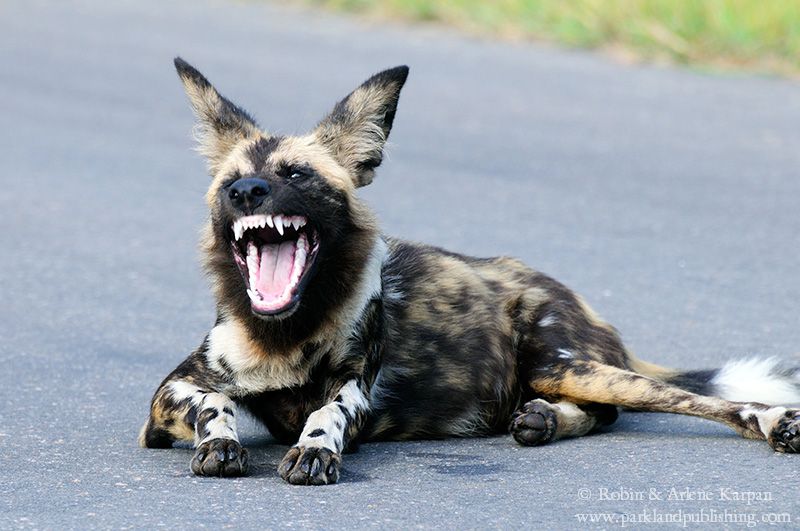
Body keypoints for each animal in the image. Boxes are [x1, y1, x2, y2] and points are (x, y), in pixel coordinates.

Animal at [139, 58, 800, 486]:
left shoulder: (354, 389)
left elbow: (326, 414)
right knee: (603, 413)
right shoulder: (168, 397)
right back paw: (541, 420)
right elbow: (214, 404)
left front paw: (315, 450)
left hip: (566, 364)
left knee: (696, 402)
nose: (248, 192)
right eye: (231, 183)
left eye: (296, 175)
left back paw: (774, 424)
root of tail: (574, 297)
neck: (285, 335)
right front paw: (221, 442)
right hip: (565, 373)